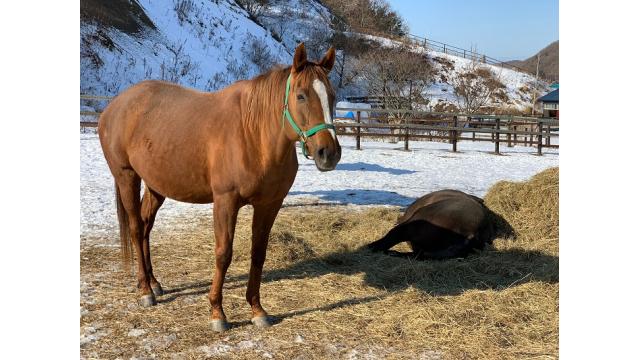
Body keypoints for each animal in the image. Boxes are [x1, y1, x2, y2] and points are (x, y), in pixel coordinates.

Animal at [97, 43, 340, 330]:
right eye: (301, 96)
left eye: (332, 97)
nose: (329, 153)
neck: (254, 134)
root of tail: (113, 106)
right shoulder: (225, 202)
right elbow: (223, 254)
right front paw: (217, 312)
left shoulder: (269, 205)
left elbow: (258, 253)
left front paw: (257, 310)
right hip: (127, 177)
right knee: (136, 229)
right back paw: (146, 290)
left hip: (156, 186)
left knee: (146, 227)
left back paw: (153, 283)